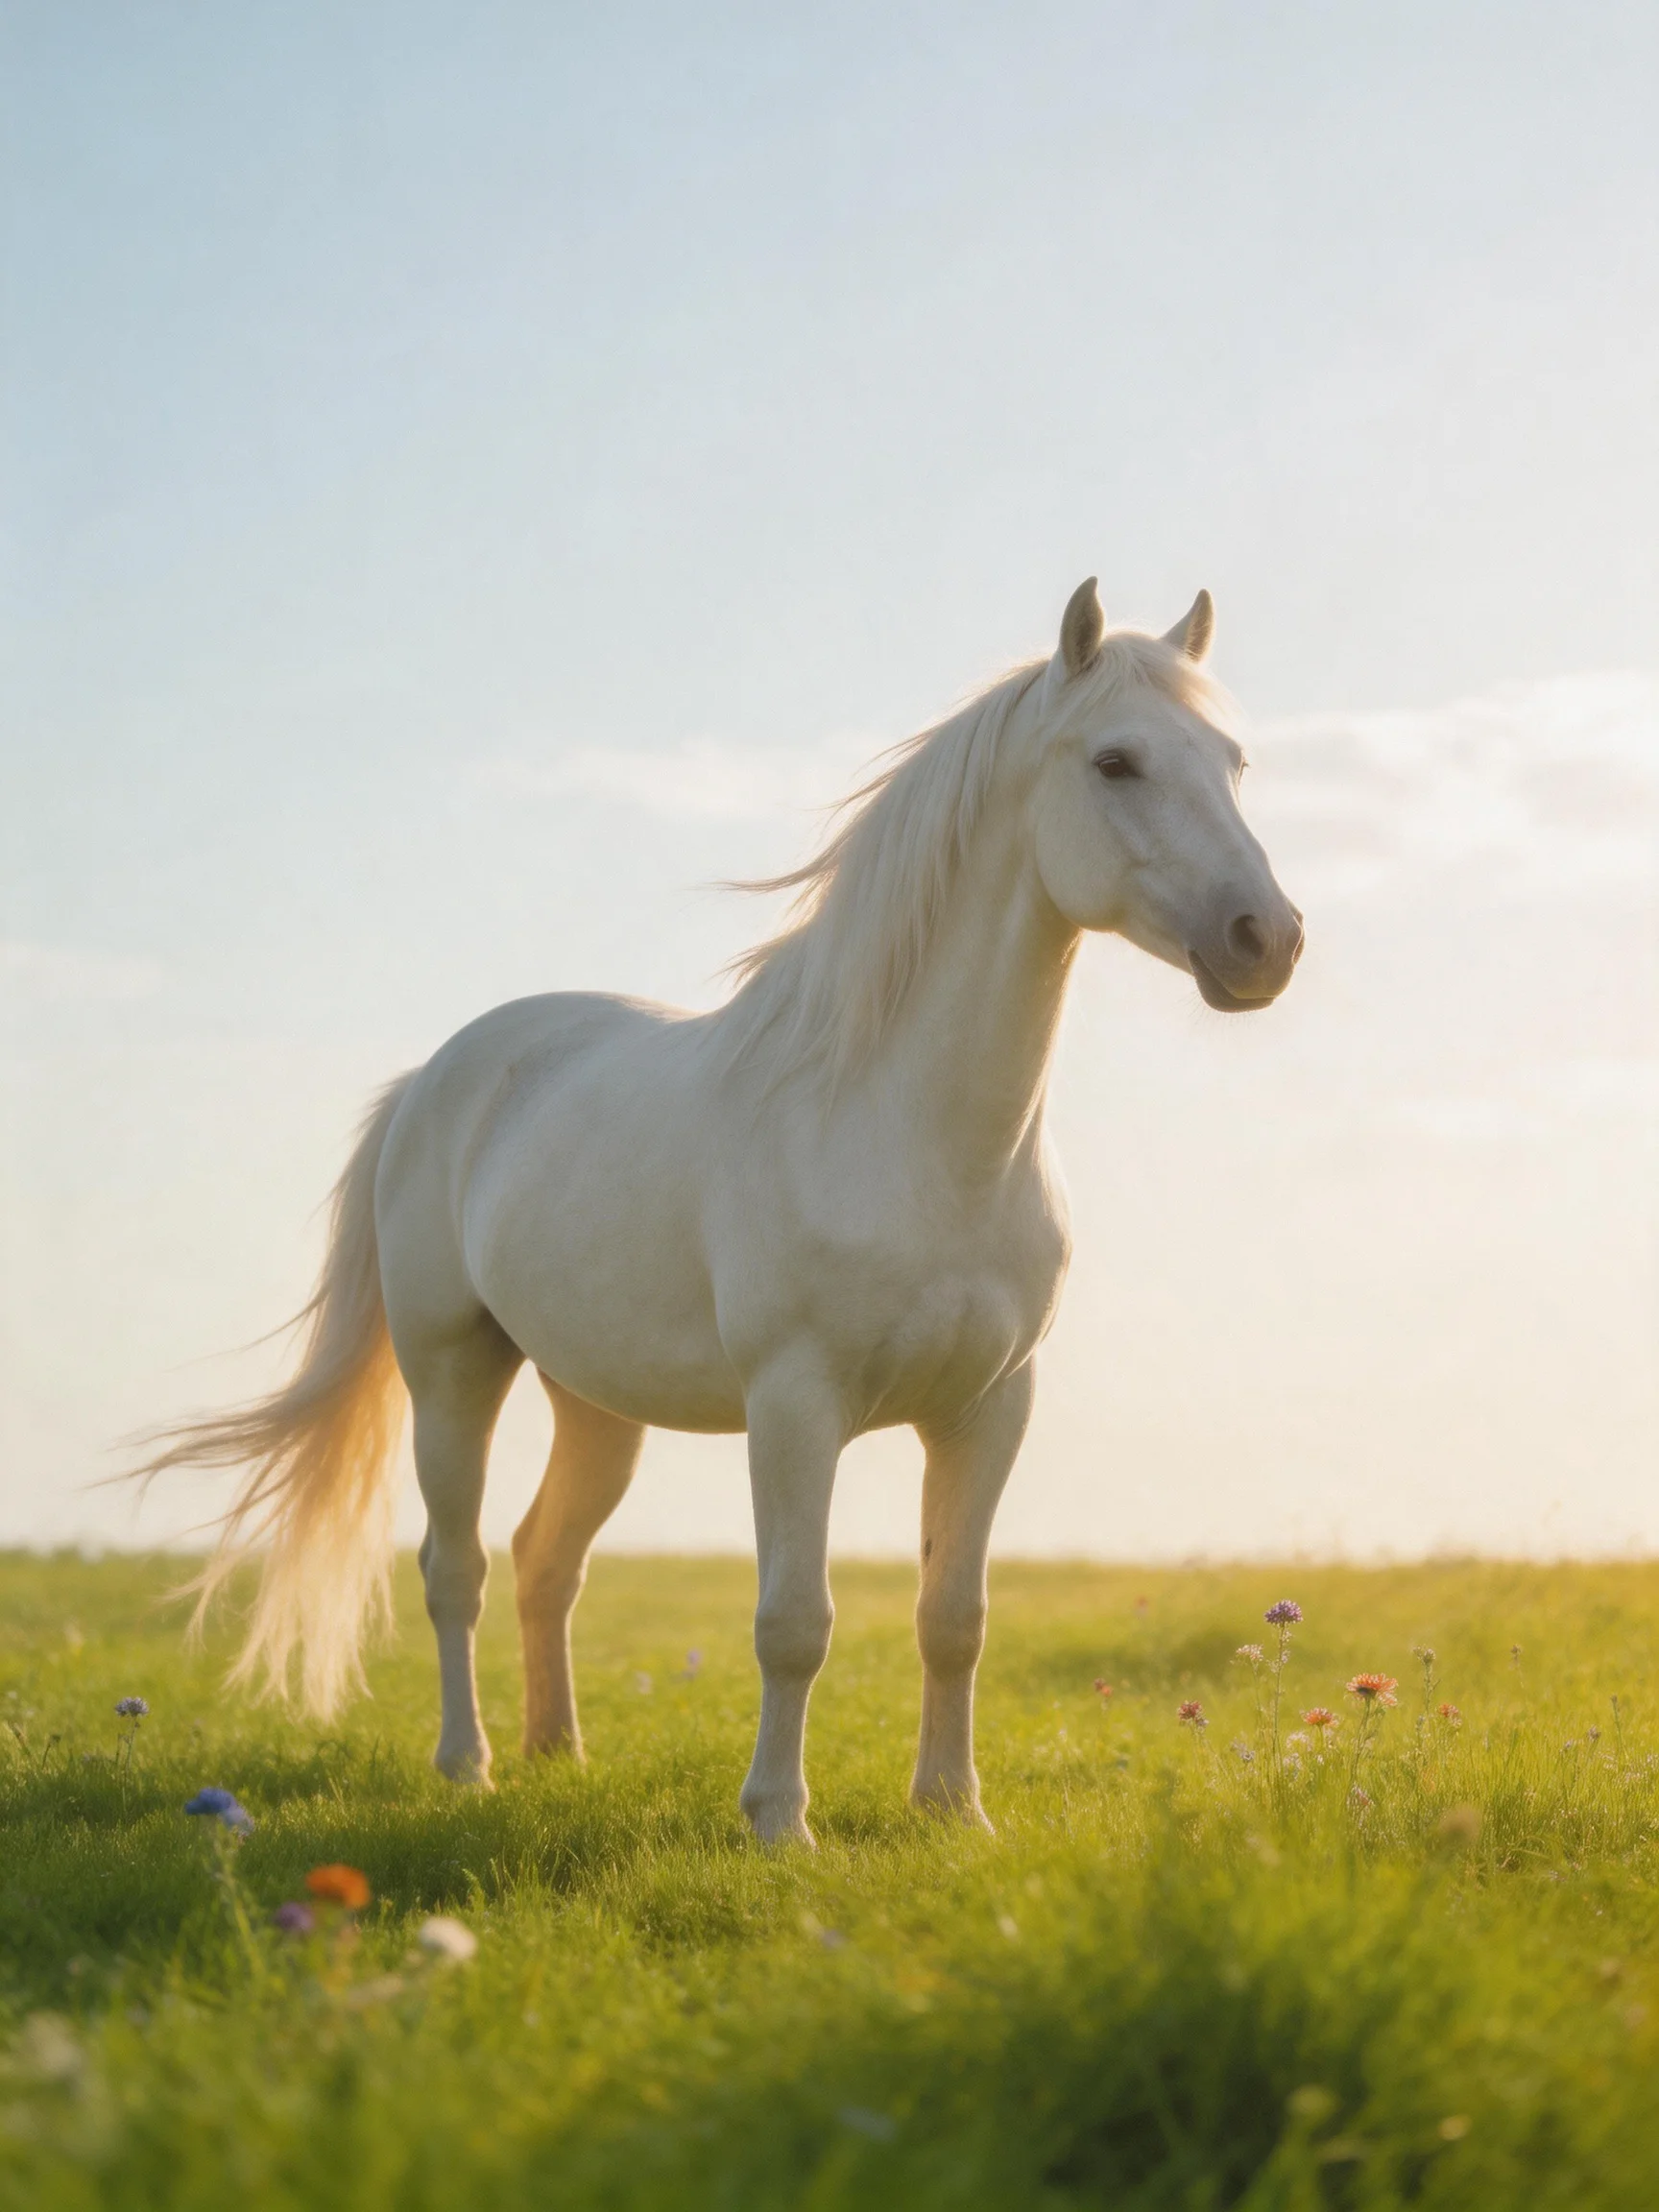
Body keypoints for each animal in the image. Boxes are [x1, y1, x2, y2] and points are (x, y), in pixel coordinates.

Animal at [139, 577, 1302, 1844]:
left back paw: (560, 1753)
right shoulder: (795, 1406)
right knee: (457, 1570)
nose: (1267, 940)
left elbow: (954, 1618)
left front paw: (954, 1811)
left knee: (546, 1560)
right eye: (1116, 761)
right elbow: (794, 1623)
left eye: (1233, 763)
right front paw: (780, 1821)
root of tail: (435, 1080)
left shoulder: (991, 1408)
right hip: (453, 1374)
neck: (904, 1131)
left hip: (598, 1404)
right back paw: (469, 1764)